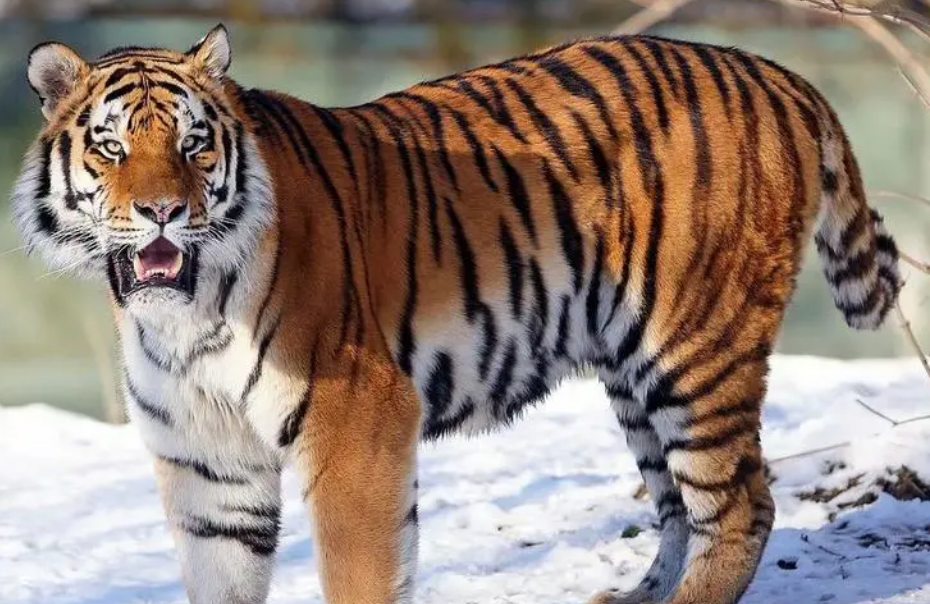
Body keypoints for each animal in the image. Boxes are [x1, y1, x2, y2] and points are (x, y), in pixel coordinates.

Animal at [12, 23, 901, 604]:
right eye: (112, 147)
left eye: (195, 145)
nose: (163, 211)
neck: (182, 316)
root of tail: (773, 70)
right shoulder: (208, 464)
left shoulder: (357, 421)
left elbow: (360, 575)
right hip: (631, 369)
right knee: (679, 504)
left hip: (694, 347)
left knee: (742, 505)